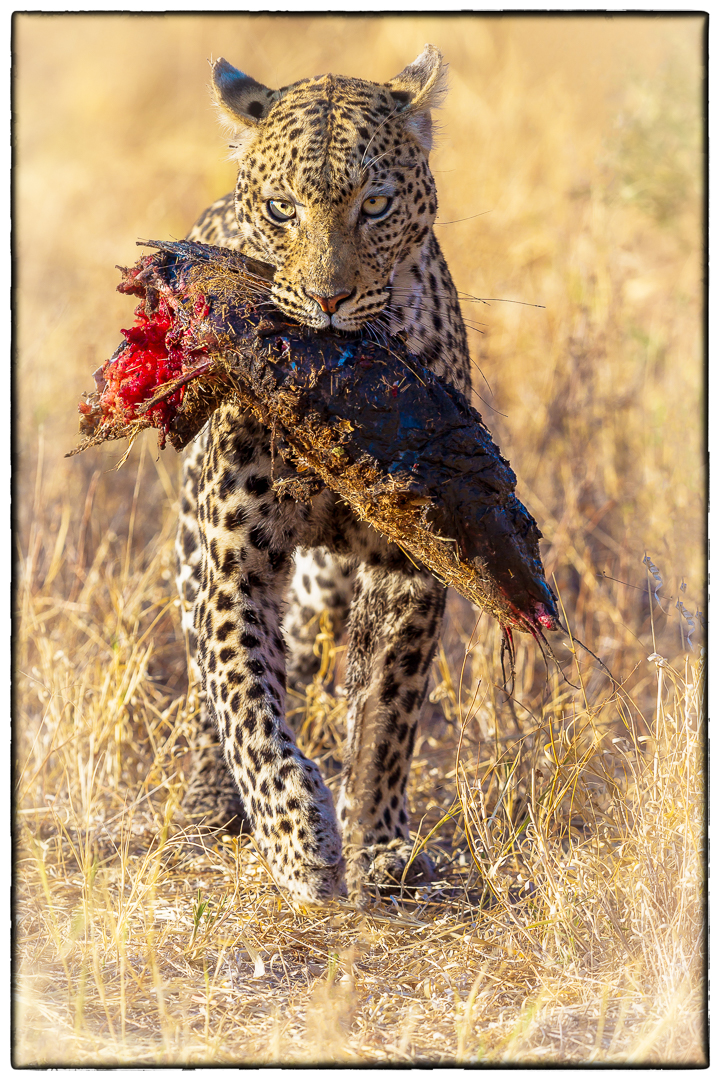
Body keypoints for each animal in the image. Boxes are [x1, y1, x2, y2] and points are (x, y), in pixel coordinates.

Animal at [174, 42, 472, 907]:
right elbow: (242, 693)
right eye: (282, 210)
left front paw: (378, 841)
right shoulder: (232, 559)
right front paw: (296, 840)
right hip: (192, 548)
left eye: (375, 205)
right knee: (206, 684)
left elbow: (384, 714)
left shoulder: (414, 563)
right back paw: (208, 802)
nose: (328, 298)